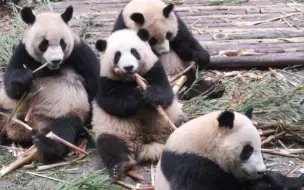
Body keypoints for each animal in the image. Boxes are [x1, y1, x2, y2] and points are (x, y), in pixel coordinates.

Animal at [0, 5, 100, 163]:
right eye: (44, 43)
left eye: (62, 42)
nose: (56, 60)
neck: (51, 68)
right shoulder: (23, 52)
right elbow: (11, 87)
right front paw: (23, 78)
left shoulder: (79, 53)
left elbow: (95, 85)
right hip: (6, 108)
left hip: (62, 114)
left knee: (62, 130)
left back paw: (46, 145)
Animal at [91, 27, 186, 180]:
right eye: (117, 55)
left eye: (134, 51)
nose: (128, 67)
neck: (130, 79)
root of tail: (146, 144)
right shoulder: (105, 81)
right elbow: (113, 103)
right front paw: (137, 95)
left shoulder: (154, 68)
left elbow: (165, 93)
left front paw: (149, 94)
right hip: (114, 130)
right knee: (110, 146)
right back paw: (121, 166)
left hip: (174, 120)